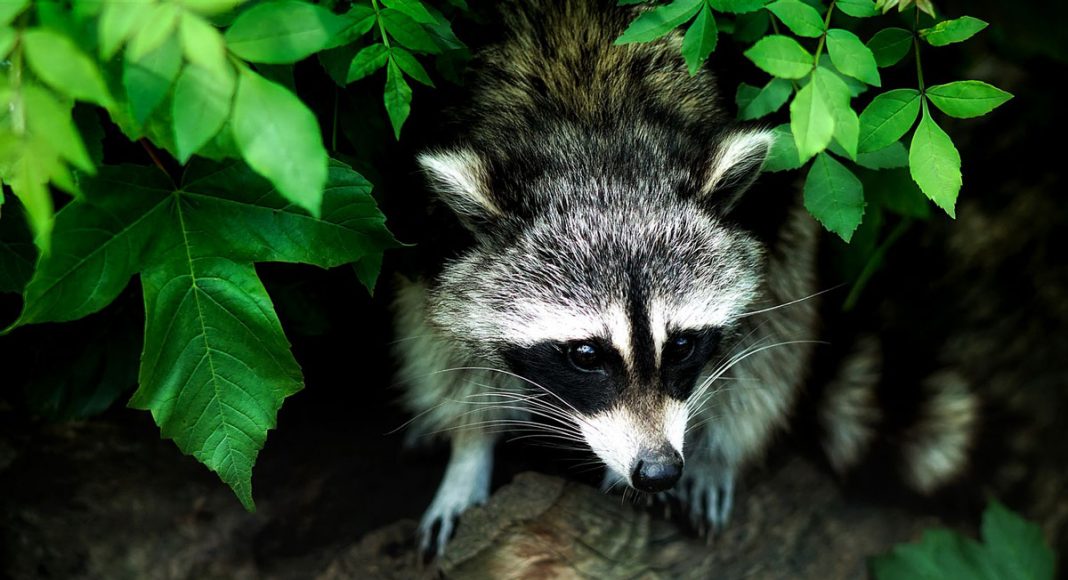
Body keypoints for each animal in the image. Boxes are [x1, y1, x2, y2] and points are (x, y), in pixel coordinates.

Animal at [392, 0, 822, 555]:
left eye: (681, 345)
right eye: (586, 354)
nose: (659, 470)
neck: (596, 126)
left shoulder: (770, 206)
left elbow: (765, 330)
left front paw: (711, 452)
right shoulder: (431, 230)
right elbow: (442, 339)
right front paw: (469, 450)